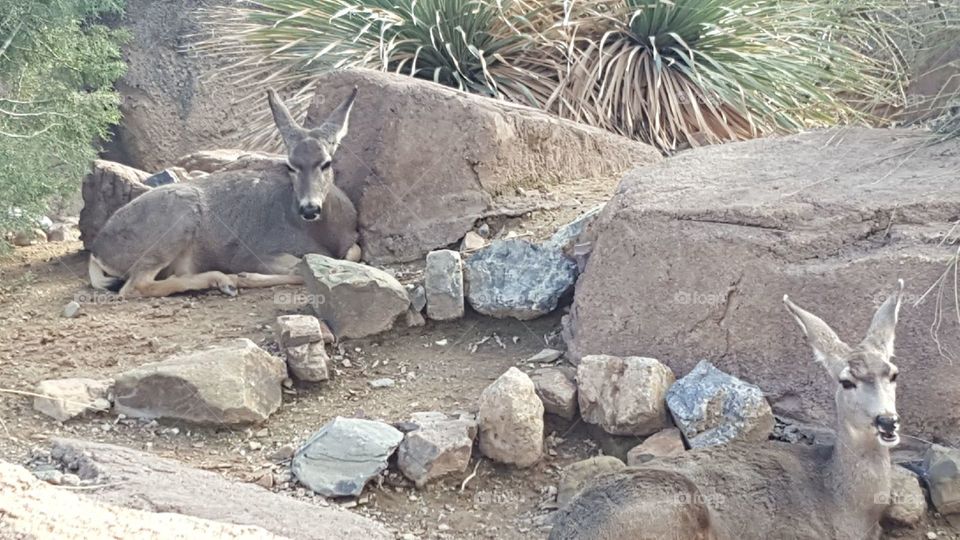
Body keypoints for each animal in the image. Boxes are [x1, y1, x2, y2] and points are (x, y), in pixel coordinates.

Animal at [87, 88, 362, 298]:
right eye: (290, 165)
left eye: (326, 163)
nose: (309, 208)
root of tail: (98, 250)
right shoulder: (253, 250)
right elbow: (302, 266)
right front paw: (244, 276)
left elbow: (352, 254)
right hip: (178, 217)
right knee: (135, 286)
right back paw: (223, 280)